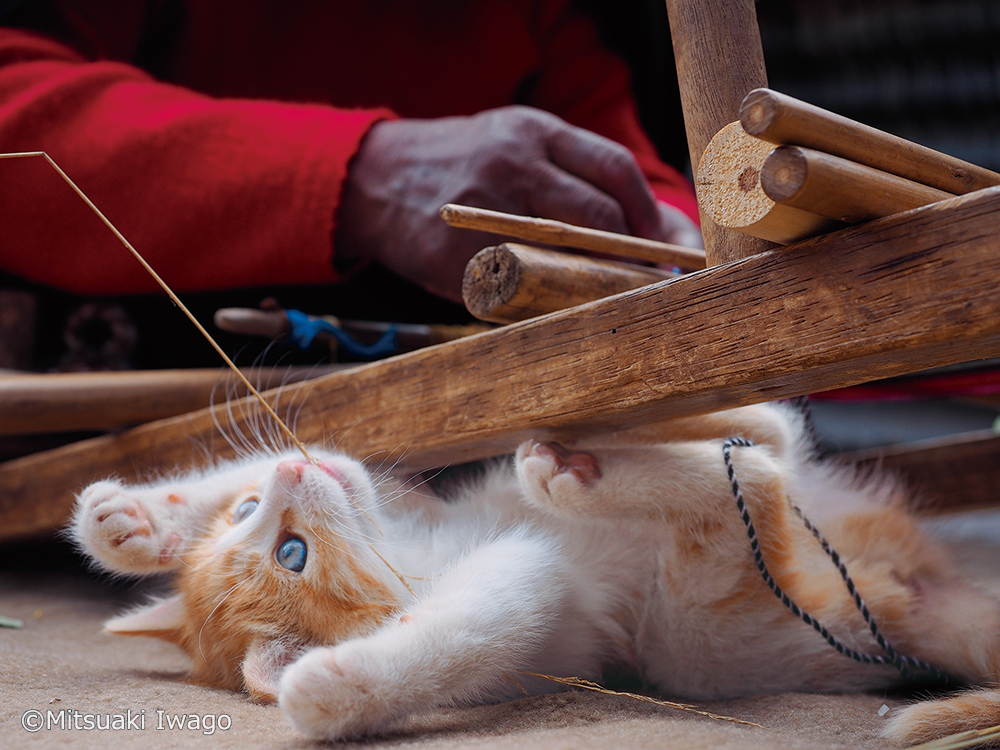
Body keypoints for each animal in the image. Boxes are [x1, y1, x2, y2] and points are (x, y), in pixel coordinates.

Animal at [70, 402, 1000, 744]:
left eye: (251, 520)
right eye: (289, 554)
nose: (296, 476)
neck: (418, 547)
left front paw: (130, 522)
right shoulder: (533, 592)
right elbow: (475, 623)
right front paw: (341, 688)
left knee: (772, 441)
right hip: (703, 639)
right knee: (759, 482)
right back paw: (578, 474)